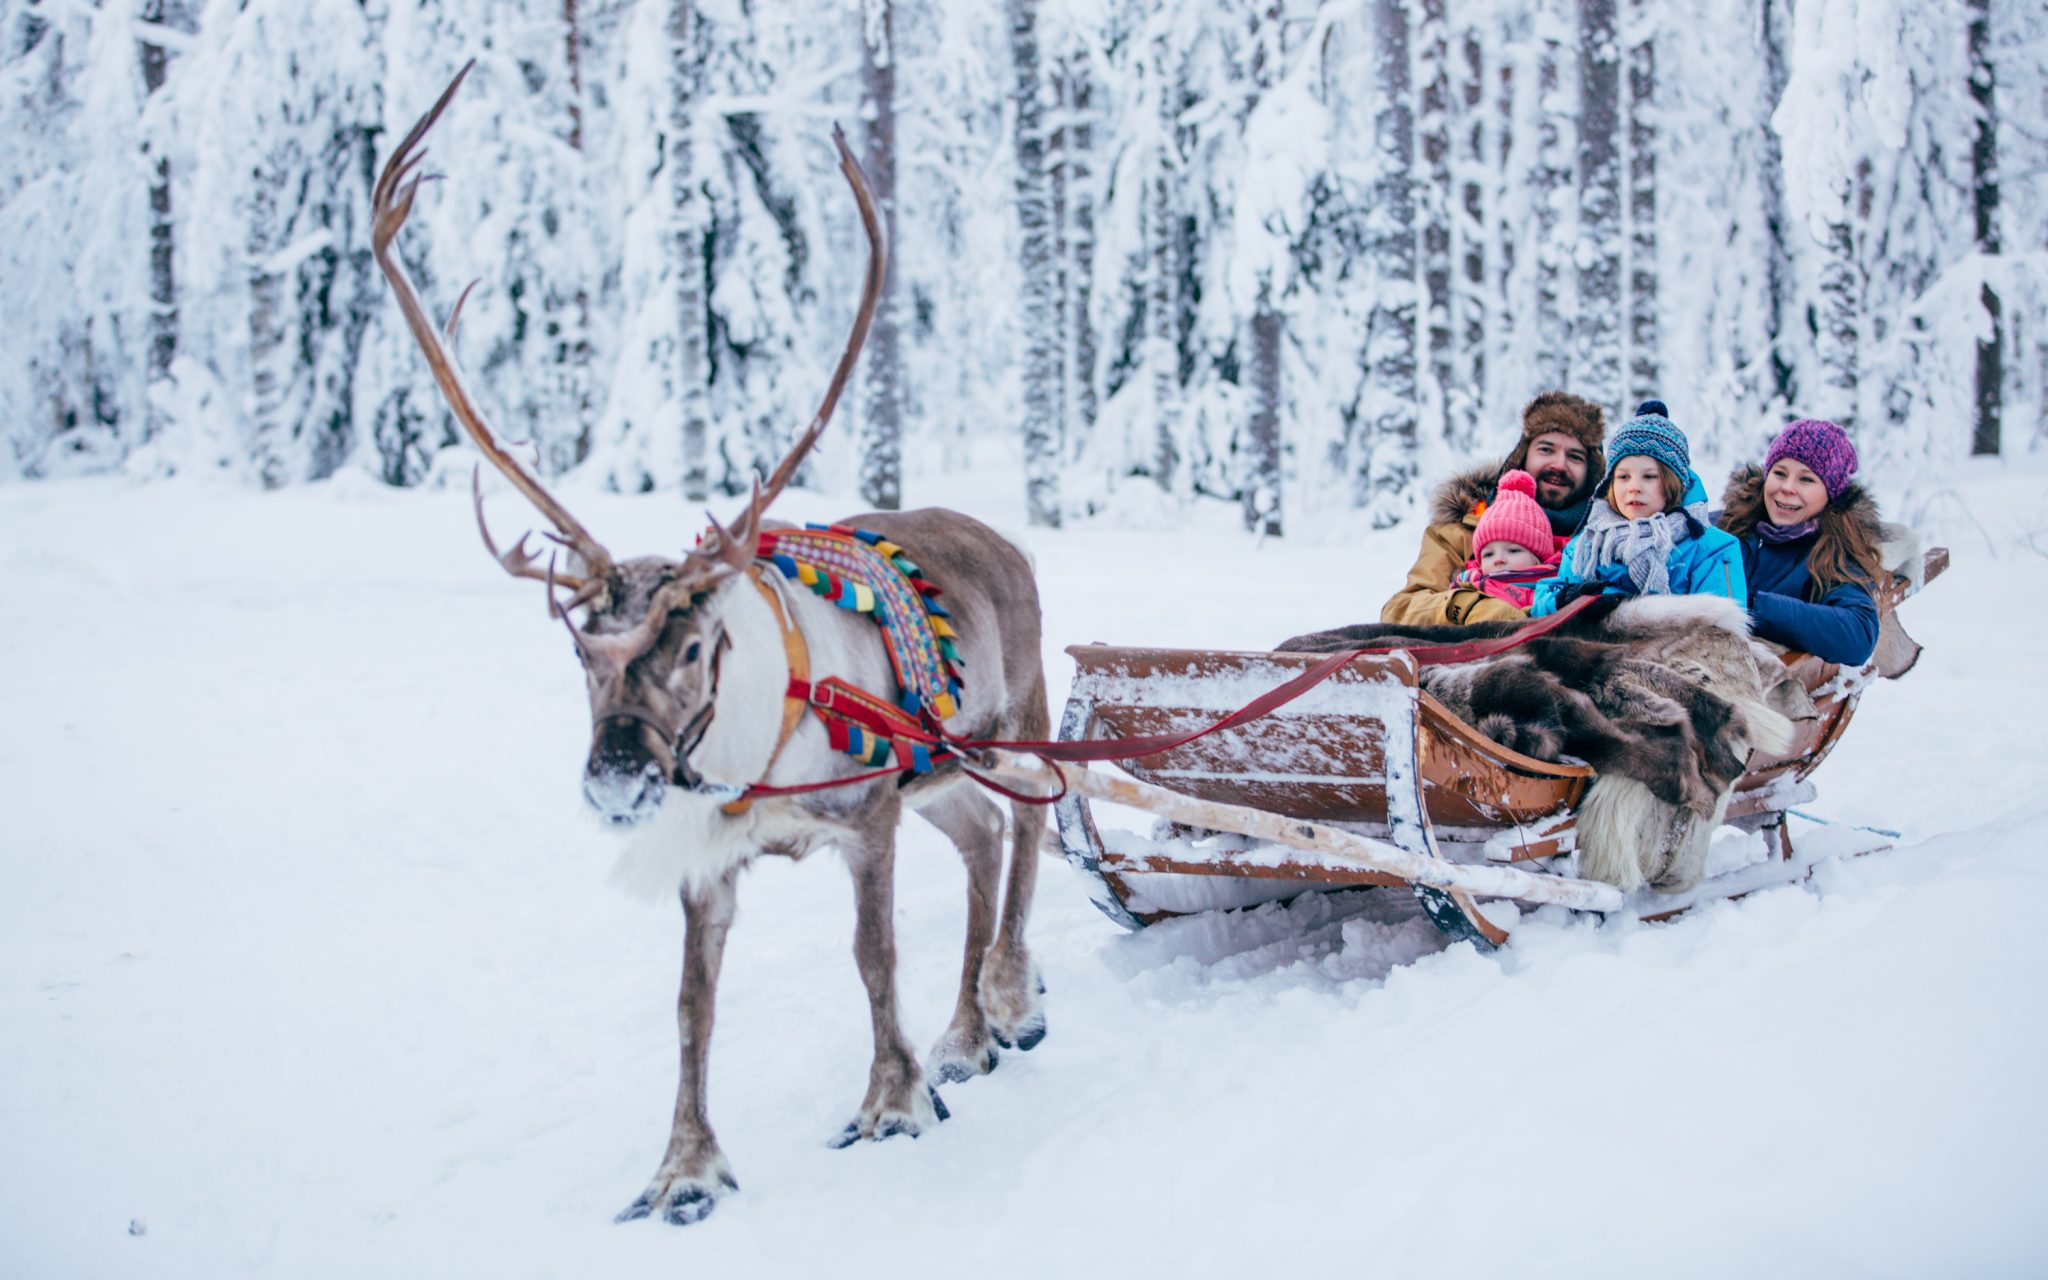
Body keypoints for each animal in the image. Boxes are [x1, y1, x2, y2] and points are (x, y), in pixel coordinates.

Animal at [371, 65, 1050, 1226]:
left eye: (692, 646)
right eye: (580, 652)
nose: (614, 778)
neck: (755, 757)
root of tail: (1004, 539)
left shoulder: (868, 817)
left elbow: (873, 958)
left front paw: (892, 1101)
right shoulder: (707, 858)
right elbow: (691, 1005)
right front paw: (683, 1168)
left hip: (1017, 717)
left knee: (1035, 824)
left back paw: (1008, 997)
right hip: (942, 773)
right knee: (982, 838)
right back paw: (965, 1035)